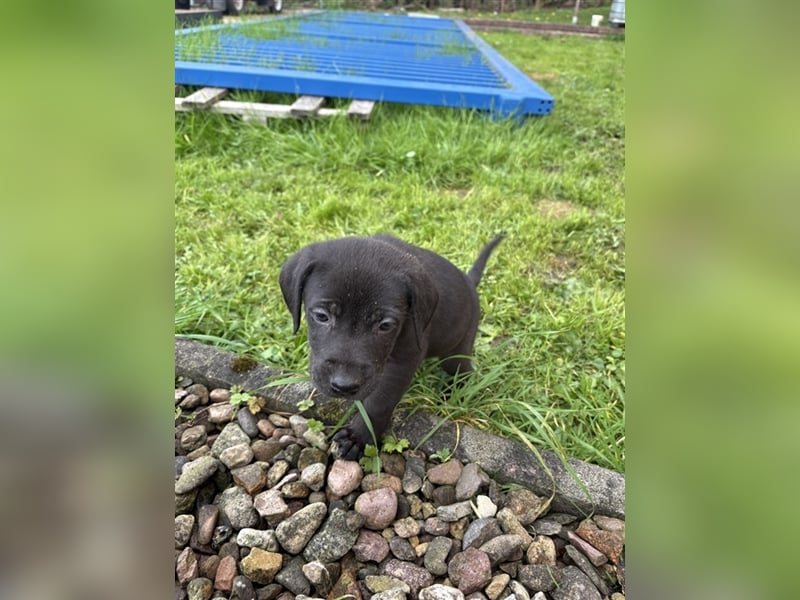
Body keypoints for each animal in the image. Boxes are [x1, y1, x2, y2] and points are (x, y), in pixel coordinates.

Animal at [280, 234, 500, 460]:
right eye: (321, 316)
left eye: (385, 325)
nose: (344, 385)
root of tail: (470, 283)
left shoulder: (404, 360)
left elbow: (379, 402)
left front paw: (358, 436)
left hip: (458, 350)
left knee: (463, 372)